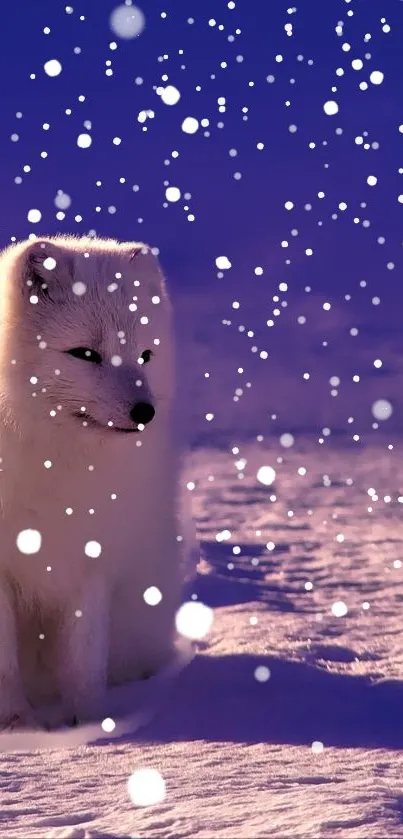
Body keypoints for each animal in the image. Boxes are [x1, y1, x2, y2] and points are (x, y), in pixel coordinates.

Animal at [0, 235, 183, 728]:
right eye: (85, 354)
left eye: (145, 355)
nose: (145, 412)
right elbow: (5, 663)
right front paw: (18, 722)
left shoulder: (91, 555)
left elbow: (84, 656)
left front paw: (90, 724)